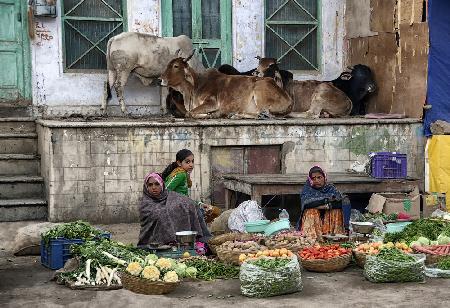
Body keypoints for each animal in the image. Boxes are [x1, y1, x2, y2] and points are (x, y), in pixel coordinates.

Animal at [160, 54, 294, 119]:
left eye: (176, 66)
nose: (160, 79)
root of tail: (289, 99)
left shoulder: (212, 102)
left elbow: (189, 113)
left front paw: (211, 115)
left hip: (259, 93)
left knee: (263, 113)